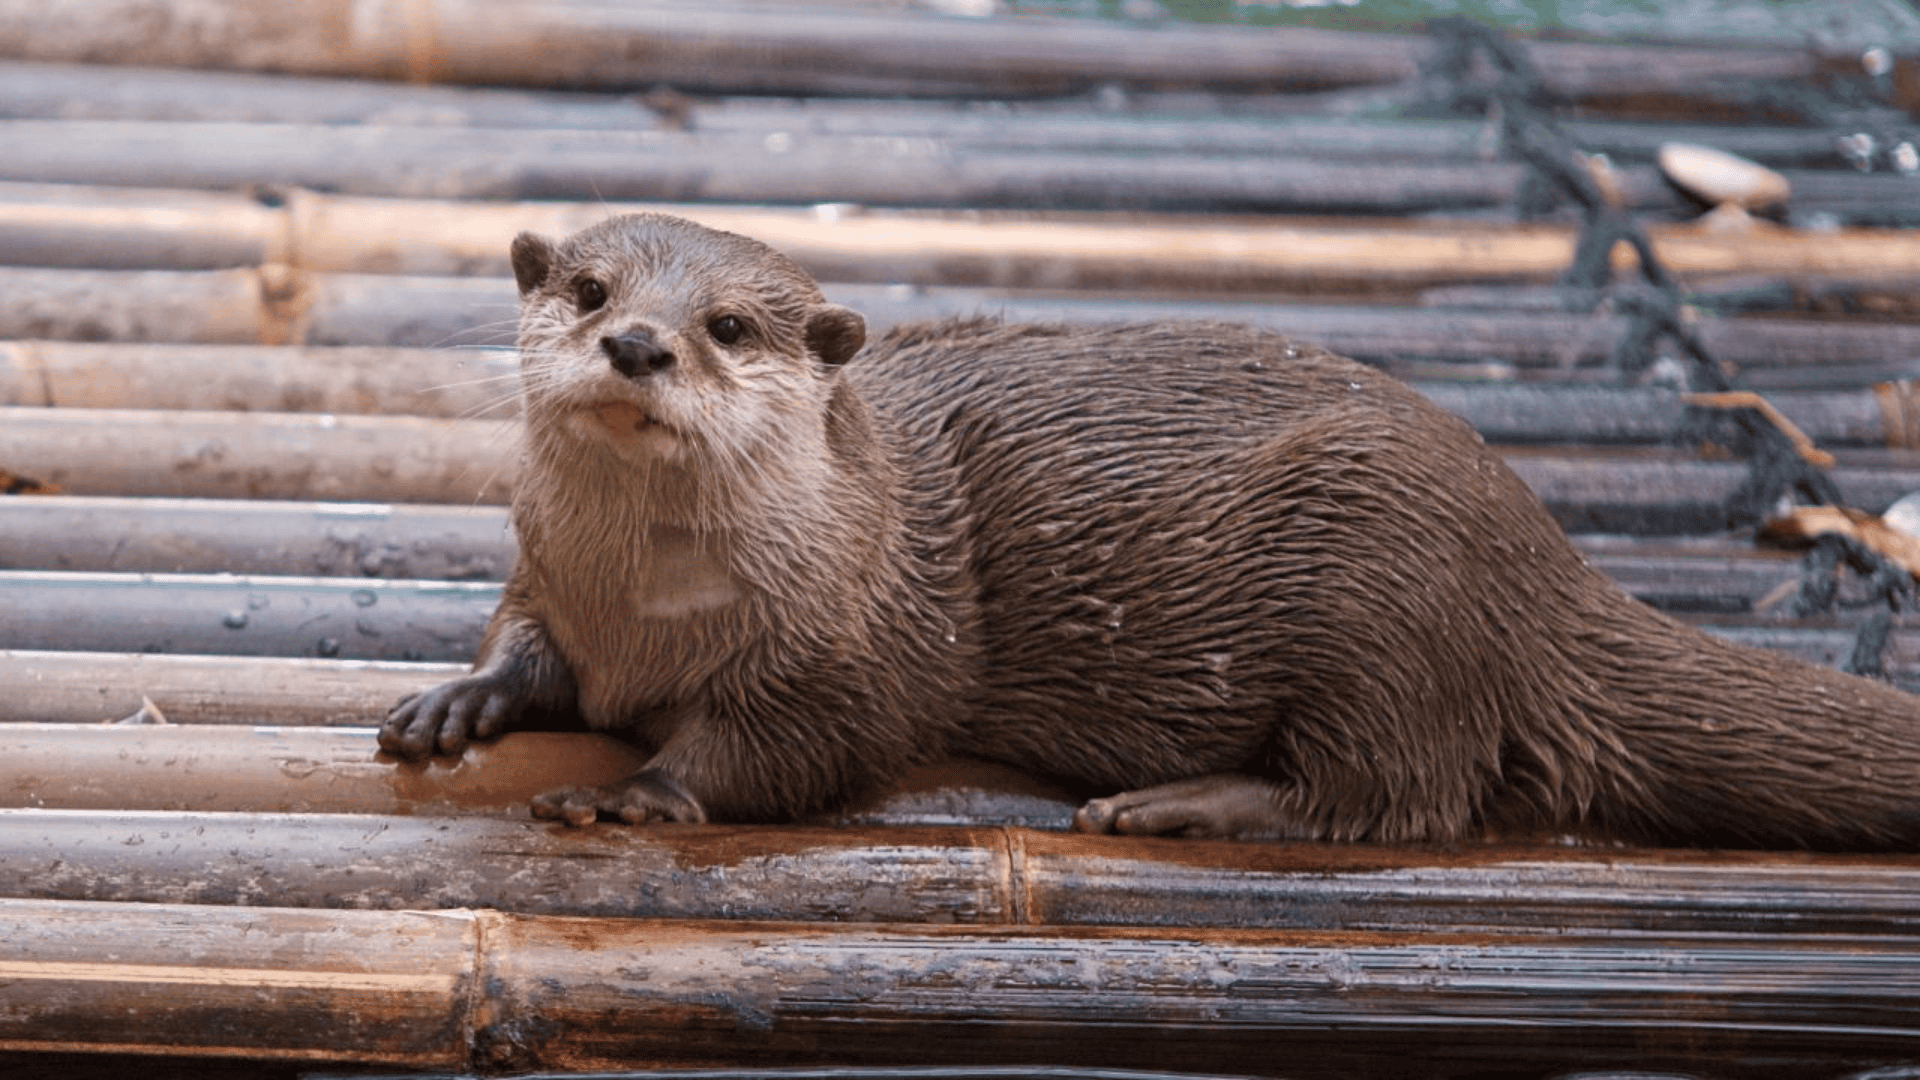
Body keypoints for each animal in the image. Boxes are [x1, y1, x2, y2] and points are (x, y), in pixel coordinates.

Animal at [379, 212, 1920, 850]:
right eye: (588, 289)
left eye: (732, 327)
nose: (639, 342)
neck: (652, 612)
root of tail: (1545, 562)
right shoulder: (549, 577)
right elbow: (523, 640)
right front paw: (460, 701)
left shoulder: (864, 645)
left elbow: (799, 751)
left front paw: (640, 791)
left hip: (1383, 575)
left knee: (1401, 792)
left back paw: (1182, 803)